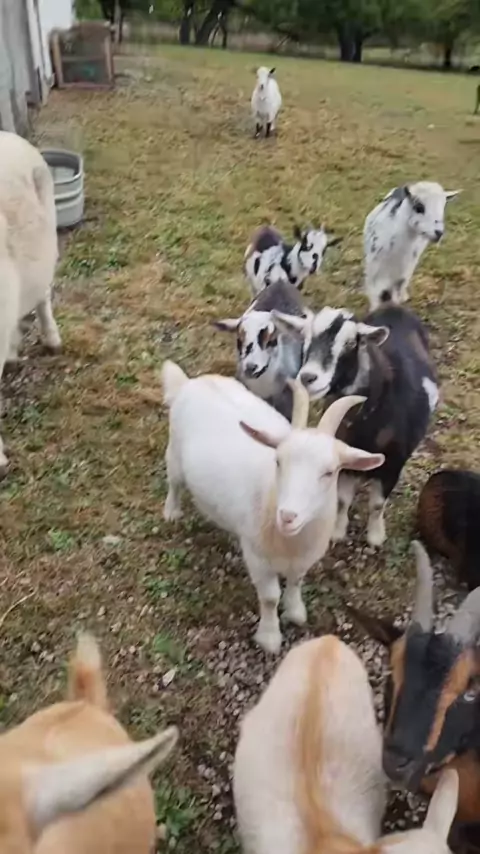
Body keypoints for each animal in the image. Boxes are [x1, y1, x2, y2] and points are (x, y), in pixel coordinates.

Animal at [162, 363, 384, 654]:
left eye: (330, 472)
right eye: (278, 461)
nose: (288, 516)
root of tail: (190, 383)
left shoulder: (304, 556)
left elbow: (296, 581)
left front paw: (295, 612)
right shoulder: (258, 557)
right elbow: (269, 598)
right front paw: (269, 637)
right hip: (175, 454)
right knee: (174, 483)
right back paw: (171, 513)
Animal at [273, 303, 438, 547]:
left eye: (351, 343)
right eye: (305, 337)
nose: (308, 377)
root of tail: (393, 305)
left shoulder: (393, 463)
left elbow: (377, 505)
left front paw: (376, 536)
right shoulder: (343, 461)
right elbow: (342, 500)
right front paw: (338, 531)